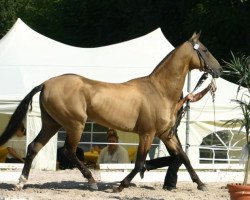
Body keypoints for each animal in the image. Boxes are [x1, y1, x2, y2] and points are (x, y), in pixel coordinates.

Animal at [0, 32, 223, 192]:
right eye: (205, 49)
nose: (219, 70)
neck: (159, 90)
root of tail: (46, 83)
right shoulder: (147, 133)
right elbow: (139, 163)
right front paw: (120, 186)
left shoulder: (166, 134)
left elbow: (183, 157)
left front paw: (201, 184)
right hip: (75, 124)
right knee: (68, 151)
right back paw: (91, 181)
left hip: (51, 124)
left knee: (33, 147)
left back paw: (20, 183)